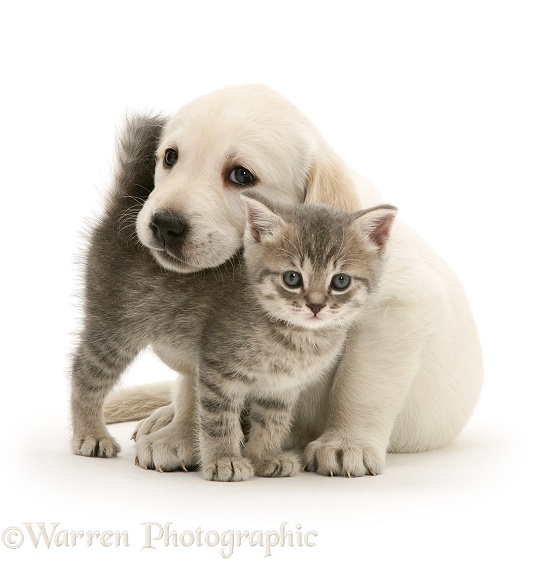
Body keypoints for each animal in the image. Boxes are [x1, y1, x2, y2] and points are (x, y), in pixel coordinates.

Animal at [197, 194, 398, 482]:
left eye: (341, 281)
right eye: (292, 278)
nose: (315, 306)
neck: (296, 339)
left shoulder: (281, 385)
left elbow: (271, 421)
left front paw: (264, 457)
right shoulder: (218, 367)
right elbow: (218, 418)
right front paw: (224, 460)